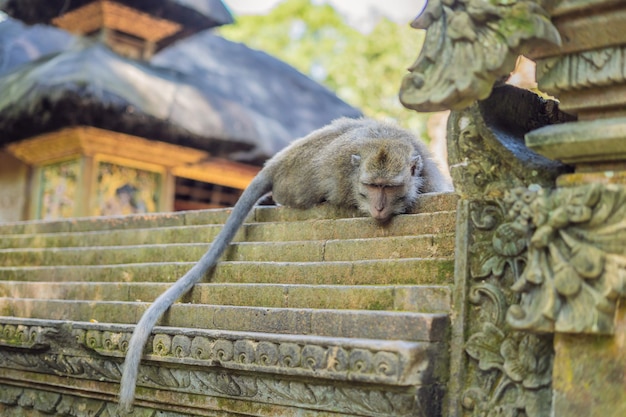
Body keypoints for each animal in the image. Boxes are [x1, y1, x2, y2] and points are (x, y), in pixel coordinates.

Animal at [116, 117, 448, 412]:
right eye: (372, 185)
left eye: (389, 188)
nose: (379, 207)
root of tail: (278, 161)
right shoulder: (343, 180)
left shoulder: (427, 173)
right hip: (295, 185)